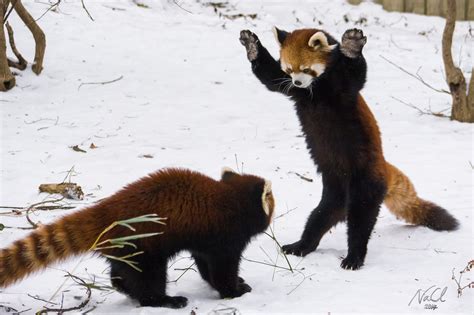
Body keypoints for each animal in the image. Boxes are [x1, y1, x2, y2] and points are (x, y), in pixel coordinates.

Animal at [0, 168, 274, 308]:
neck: (228, 198)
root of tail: (107, 210)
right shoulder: (224, 237)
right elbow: (221, 271)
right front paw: (235, 291)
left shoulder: (205, 240)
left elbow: (206, 267)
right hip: (144, 244)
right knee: (149, 278)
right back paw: (165, 300)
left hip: (126, 247)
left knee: (123, 271)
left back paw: (124, 287)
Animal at [241, 28, 460, 272]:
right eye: (289, 69)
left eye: (306, 69)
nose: (297, 82)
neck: (315, 90)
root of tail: (384, 166)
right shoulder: (293, 91)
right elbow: (270, 77)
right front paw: (252, 46)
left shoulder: (344, 87)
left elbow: (357, 72)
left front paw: (352, 46)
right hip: (334, 192)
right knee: (319, 217)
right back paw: (301, 245)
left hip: (366, 182)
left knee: (360, 220)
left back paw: (354, 256)